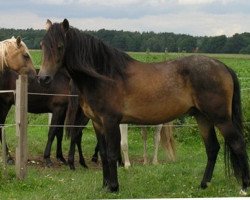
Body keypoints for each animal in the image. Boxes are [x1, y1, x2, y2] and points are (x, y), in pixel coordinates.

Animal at [37, 18, 250, 194]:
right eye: (42, 45)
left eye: (60, 46)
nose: (43, 78)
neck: (105, 76)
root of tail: (222, 66)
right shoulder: (98, 123)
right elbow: (104, 154)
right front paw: (105, 186)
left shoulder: (111, 121)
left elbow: (112, 153)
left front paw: (114, 187)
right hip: (202, 117)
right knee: (212, 148)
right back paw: (204, 184)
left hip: (221, 118)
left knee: (238, 144)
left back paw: (244, 186)